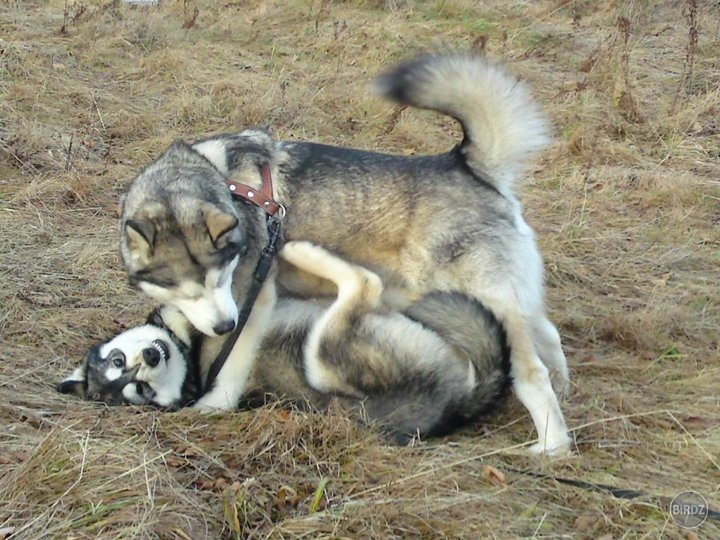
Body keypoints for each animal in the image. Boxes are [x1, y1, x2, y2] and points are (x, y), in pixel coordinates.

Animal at [60, 240, 512, 442]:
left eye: (119, 361)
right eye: (141, 391)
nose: (150, 358)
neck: (190, 350)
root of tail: (457, 404)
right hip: (325, 356)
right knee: (364, 284)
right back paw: (302, 252)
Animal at [118, 52, 572, 454]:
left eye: (222, 278)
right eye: (185, 290)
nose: (223, 325)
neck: (222, 181)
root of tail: (467, 167)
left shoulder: (253, 300)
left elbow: (234, 363)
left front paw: (214, 405)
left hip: (478, 298)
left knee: (530, 373)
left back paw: (552, 446)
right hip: (503, 297)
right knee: (547, 332)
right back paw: (564, 384)